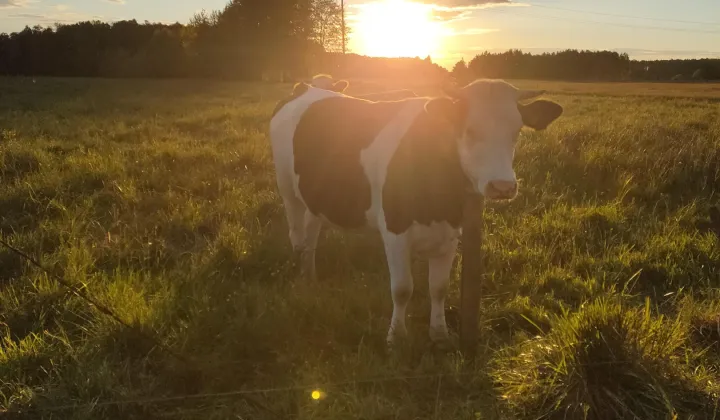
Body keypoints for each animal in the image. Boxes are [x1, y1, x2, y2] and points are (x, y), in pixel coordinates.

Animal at [268, 78, 564, 344]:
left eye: (517, 131)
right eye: (469, 130)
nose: (502, 186)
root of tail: (305, 87)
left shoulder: (451, 233)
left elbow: (439, 288)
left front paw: (439, 333)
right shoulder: (395, 231)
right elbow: (402, 289)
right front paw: (396, 337)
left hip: (314, 197)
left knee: (311, 234)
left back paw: (310, 276)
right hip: (287, 190)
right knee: (297, 237)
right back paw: (301, 277)